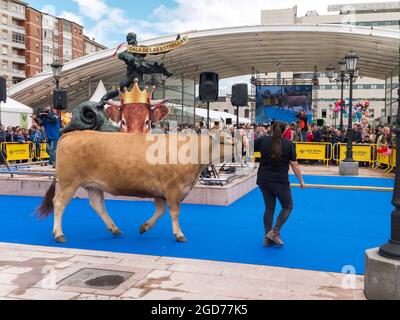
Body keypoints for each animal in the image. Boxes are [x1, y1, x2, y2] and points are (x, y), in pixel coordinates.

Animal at [36, 130, 234, 242]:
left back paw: (114, 229)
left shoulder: (161, 191)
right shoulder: (173, 188)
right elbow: (174, 212)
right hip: (69, 182)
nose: (240, 150)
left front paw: (144, 227)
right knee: (59, 203)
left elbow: (160, 211)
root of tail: (72, 133)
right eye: (230, 140)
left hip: (92, 185)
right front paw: (179, 234)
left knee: (97, 205)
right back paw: (59, 234)